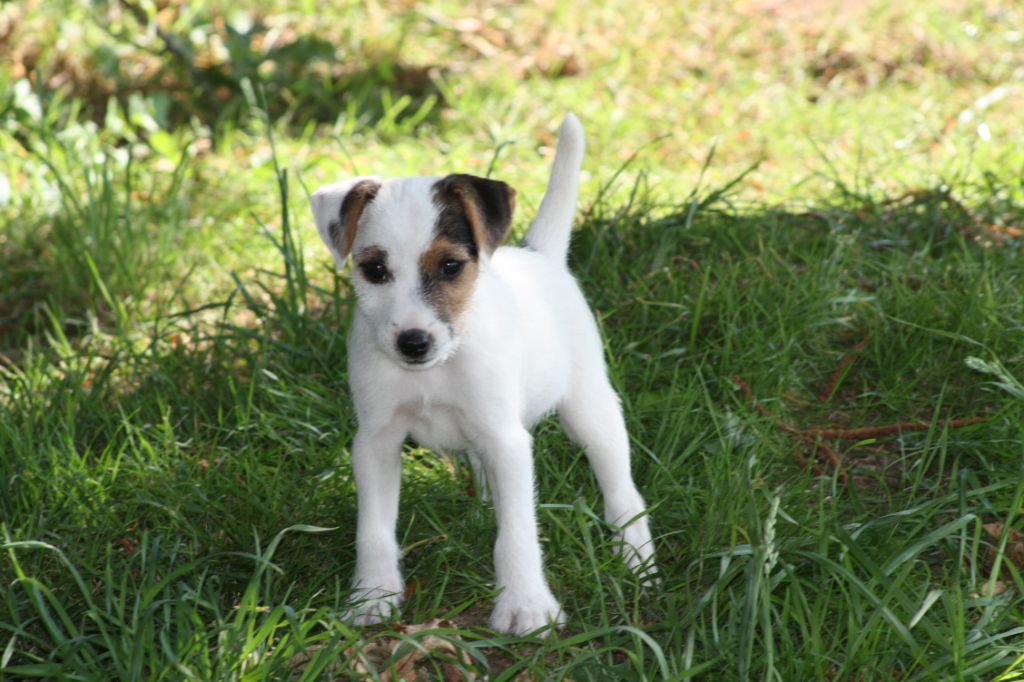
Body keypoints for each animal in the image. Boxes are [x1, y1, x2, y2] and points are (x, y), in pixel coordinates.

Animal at [309, 112, 655, 638]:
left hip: (590, 412)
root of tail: (541, 255)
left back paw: (636, 558)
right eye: (374, 270)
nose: (413, 342)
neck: (439, 367)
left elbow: (517, 532)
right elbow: (374, 531)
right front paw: (372, 597)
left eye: (451, 266)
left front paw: (526, 605)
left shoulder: (506, 441)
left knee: (622, 491)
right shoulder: (376, 442)